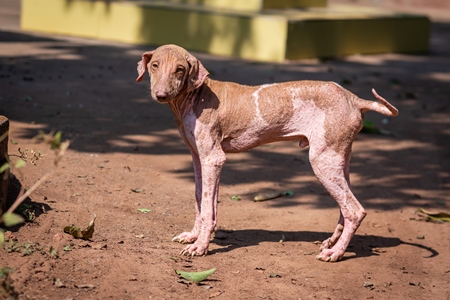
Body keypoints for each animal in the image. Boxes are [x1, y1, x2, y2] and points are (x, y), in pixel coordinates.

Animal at [136, 44, 398, 262]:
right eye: (154, 65)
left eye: (180, 69)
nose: (161, 95)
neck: (194, 97)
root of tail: (354, 99)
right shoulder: (199, 160)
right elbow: (201, 202)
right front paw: (193, 236)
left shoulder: (214, 159)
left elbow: (208, 208)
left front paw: (200, 247)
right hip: (338, 161)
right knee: (346, 206)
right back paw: (332, 242)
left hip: (322, 162)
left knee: (355, 210)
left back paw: (336, 252)